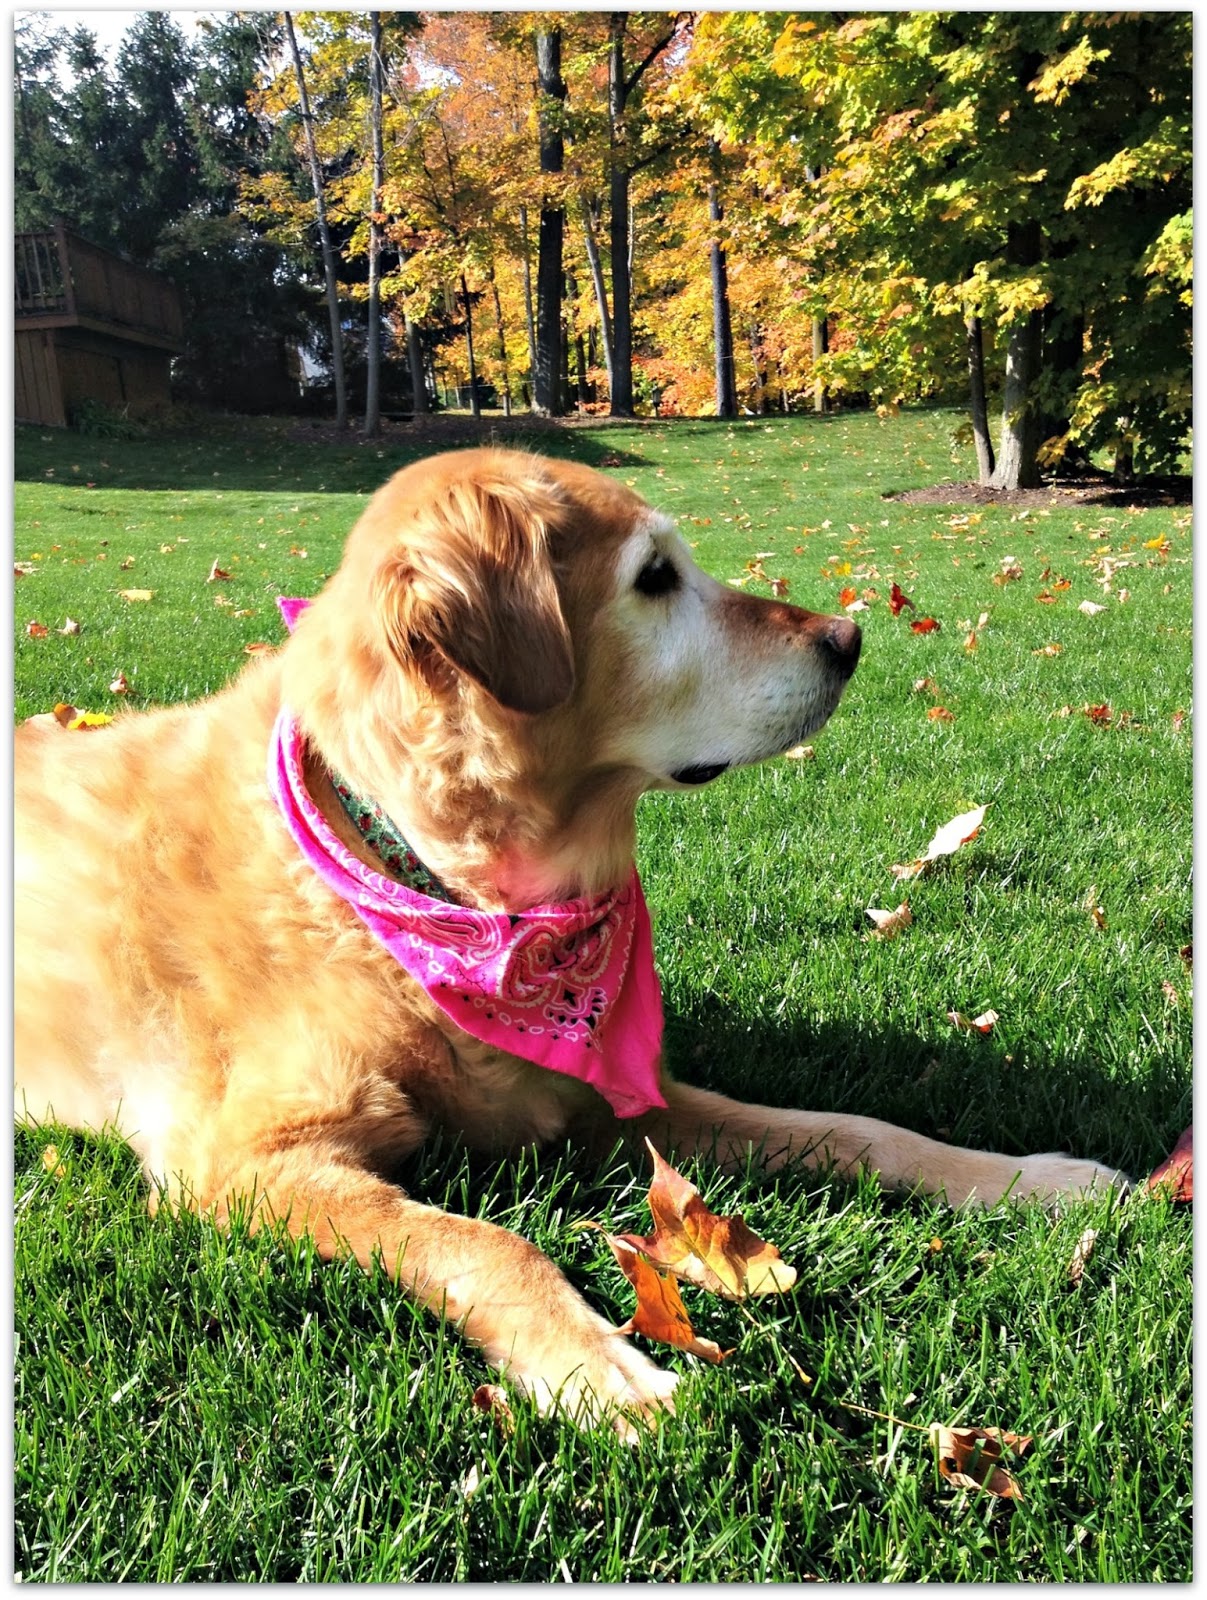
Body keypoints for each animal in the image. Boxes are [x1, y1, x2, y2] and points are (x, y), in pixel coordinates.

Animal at [15, 447, 1125, 1431]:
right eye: (656, 577)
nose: (849, 638)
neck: (432, 876)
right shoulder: (243, 1160)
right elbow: (484, 1241)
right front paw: (597, 1368)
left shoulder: (614, 1098)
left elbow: (859, 1129)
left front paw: (1032, 1178)